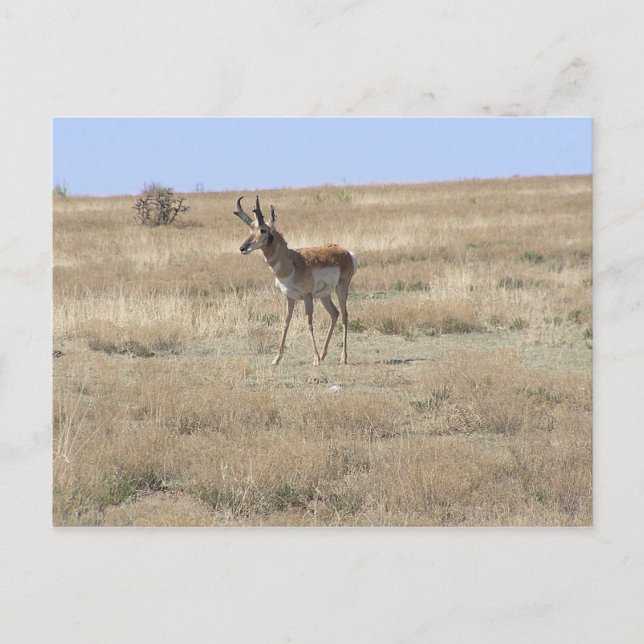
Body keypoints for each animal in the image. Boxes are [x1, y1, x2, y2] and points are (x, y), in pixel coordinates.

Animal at [233, 196, 358, 366]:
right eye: (250, 229)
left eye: (263, 229)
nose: (243, 248)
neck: (291, 263)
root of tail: (346, 252)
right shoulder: (289, 298)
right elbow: (285, 323)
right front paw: (276, 359)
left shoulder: (307, 296)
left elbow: (309, 324)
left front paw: (315, 359)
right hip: (324, 295)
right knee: (335, 313)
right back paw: (324, 354)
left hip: (341, 289)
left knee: (345, 315)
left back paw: (342, 357)